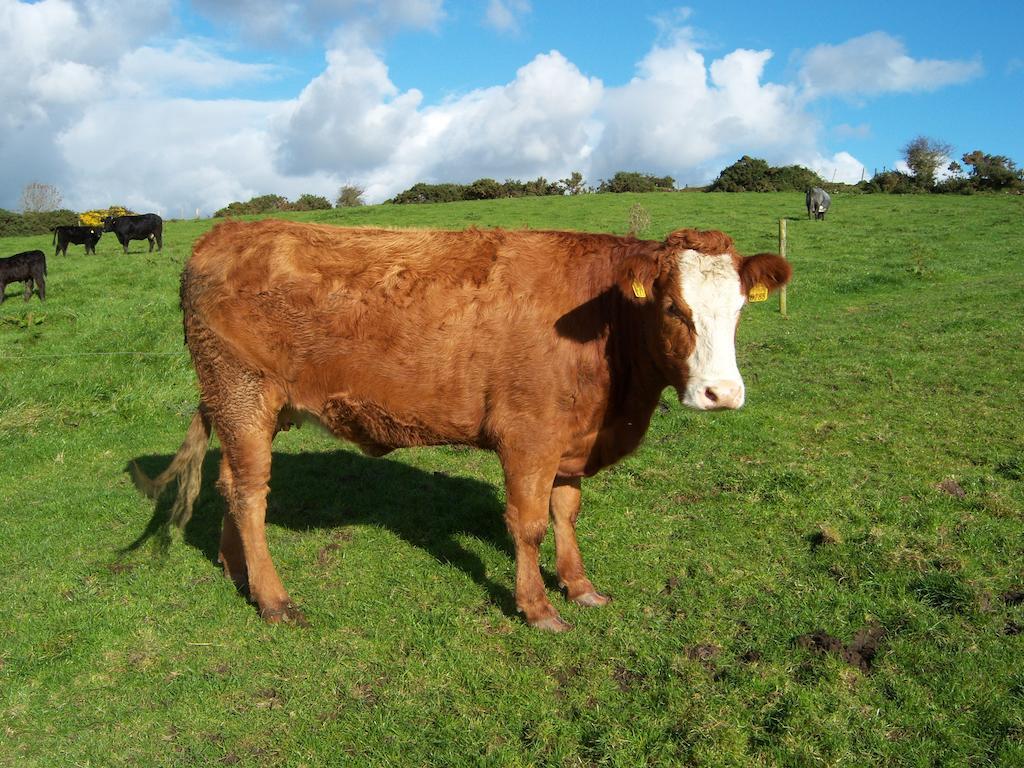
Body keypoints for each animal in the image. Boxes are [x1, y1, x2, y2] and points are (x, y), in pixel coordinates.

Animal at [134, 221, 790, 630]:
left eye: (739, 309)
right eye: (674, 308)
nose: (722, 394)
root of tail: (222, 234)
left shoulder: (572, 438)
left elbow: (566, 513)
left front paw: (579, 587)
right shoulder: (528, 435)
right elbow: (528, 524)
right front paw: (538, 609)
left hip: (245, 407)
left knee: (229, 484)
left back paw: (235, 569)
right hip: (242, 394)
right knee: (250, 494)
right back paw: (274, 600)